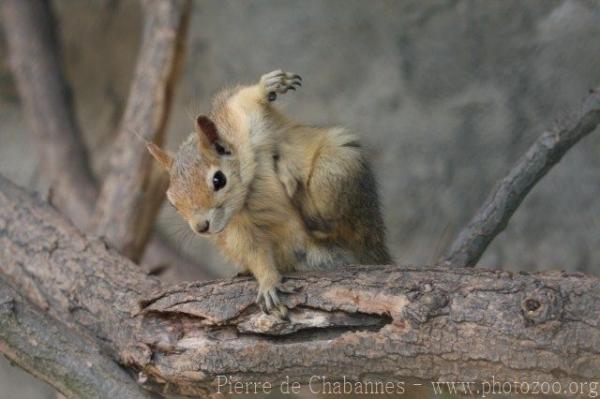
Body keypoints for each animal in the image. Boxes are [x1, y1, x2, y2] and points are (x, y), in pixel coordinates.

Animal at [145, 69, 390, 318]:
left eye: (218, 179)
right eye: (172, 202)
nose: (201, 227)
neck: (249, 191)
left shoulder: (239, 116)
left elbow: (244, 98)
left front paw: (270, 85)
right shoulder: (237, 230)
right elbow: (254, 253)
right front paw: (268, 283)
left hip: (336, 169)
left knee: (330, 223)